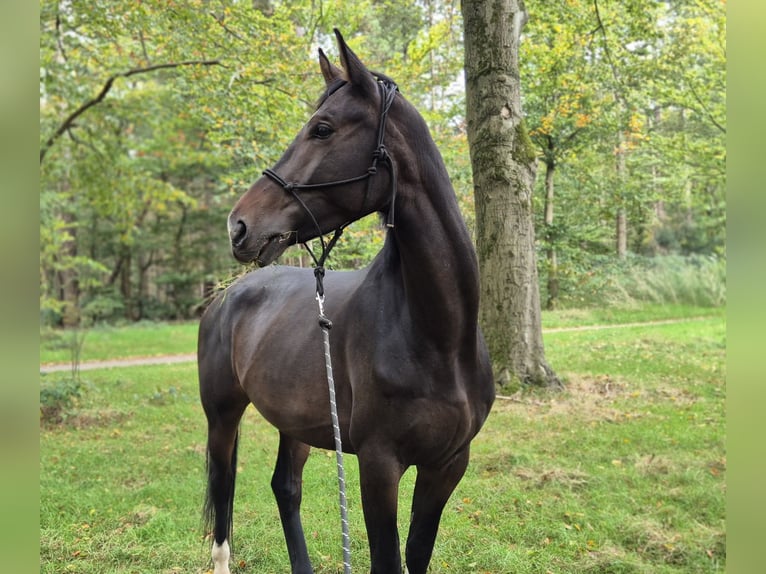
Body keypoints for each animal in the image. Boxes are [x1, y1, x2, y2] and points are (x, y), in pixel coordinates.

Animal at [198, 31, 496, 574]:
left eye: (322, 128)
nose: (239, 226)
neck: (439, 337)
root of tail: (226, 297)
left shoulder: (447, 466)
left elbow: (415, 554)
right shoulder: (379, 466)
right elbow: (387, 559)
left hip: (294, 421)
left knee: (285, 487)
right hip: (223, 416)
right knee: (224, 489)